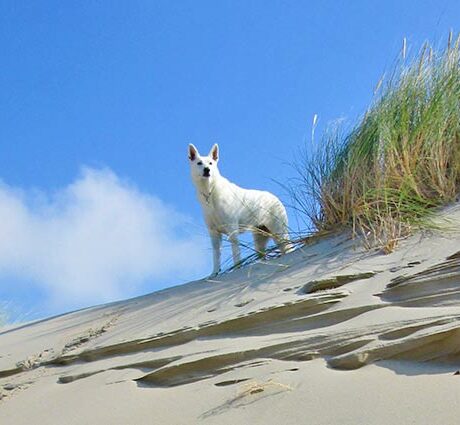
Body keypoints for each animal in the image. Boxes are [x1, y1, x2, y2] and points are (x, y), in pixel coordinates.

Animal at [187, 142, 288, 276]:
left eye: (210, 163)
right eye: (199, 163)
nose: (207, 170)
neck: (210, 192)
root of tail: (276, 198)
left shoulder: (232, 230)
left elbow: (236, 253)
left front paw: (237, 269)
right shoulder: (214, 233)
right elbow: (216, 256)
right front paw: (214, 273)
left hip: (279, 232)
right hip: (259, 238)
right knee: (262, 254)